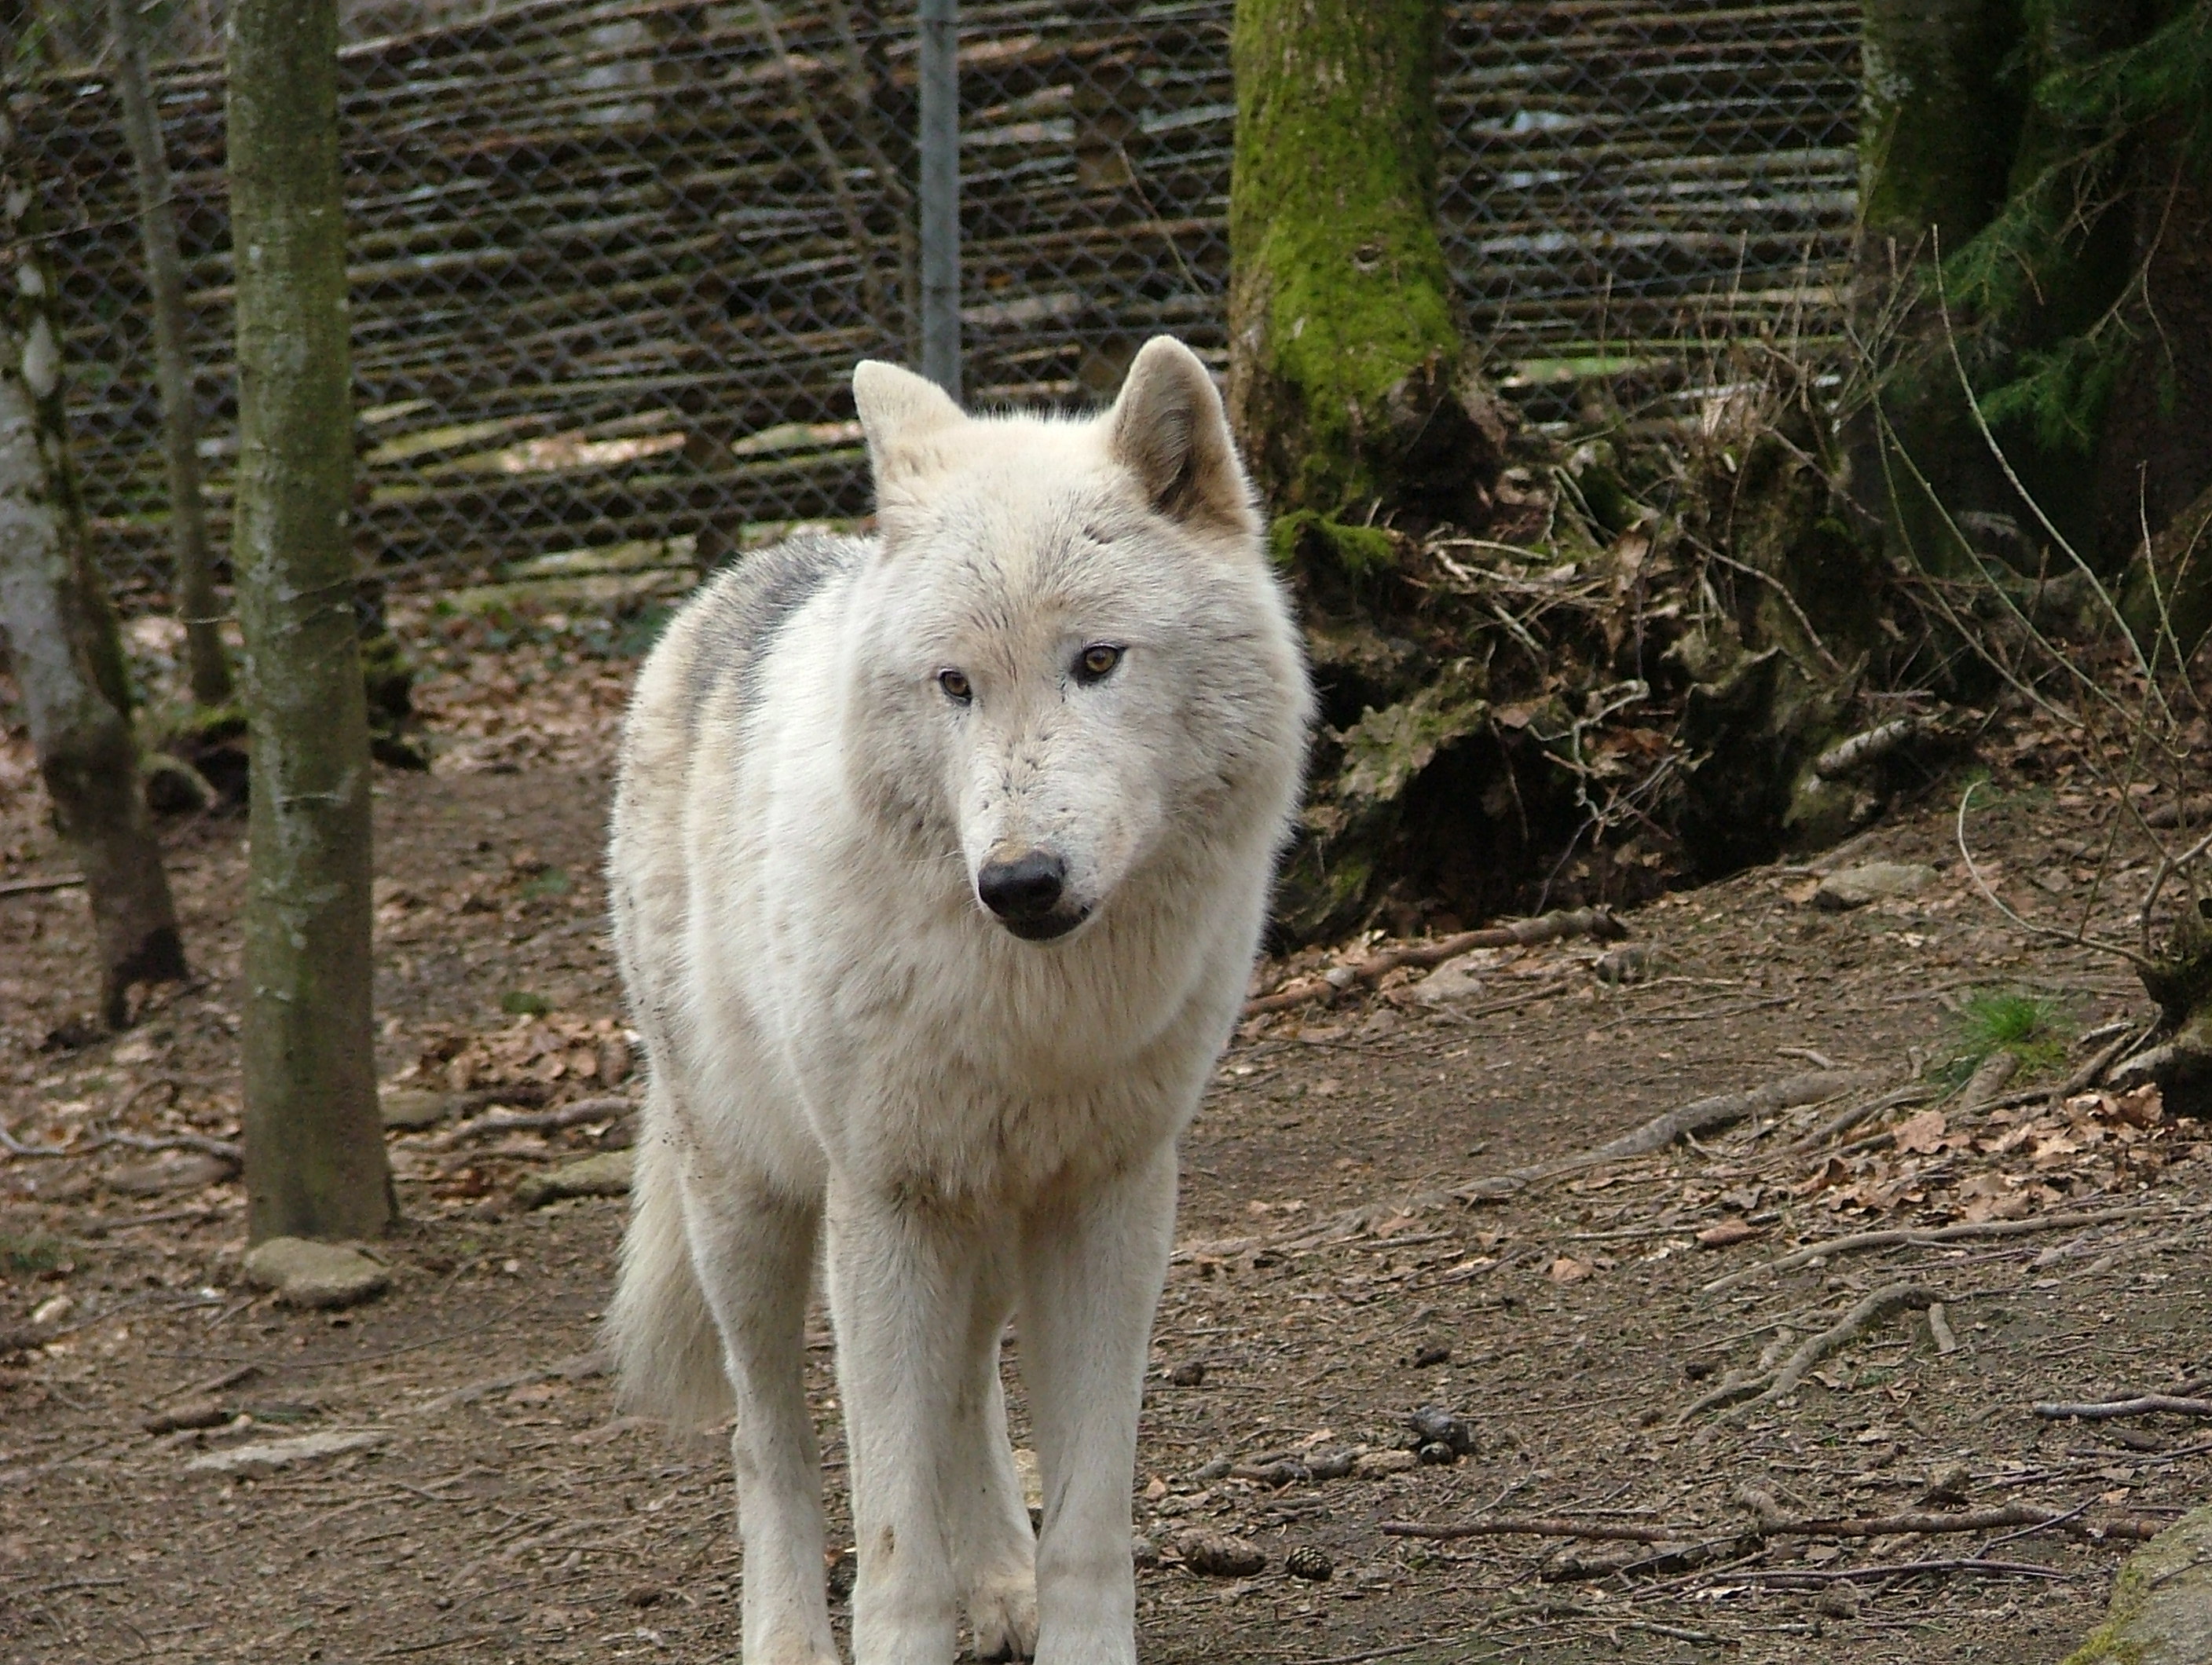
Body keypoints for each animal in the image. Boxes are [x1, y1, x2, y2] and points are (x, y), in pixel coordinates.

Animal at [606, 338, 1309, 1663]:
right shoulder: (885, 1202)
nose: (1019, 882)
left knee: (968, 1390)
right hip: (751, 1203)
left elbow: (1088, 1521)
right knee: (767, 1441)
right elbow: (890, 1544)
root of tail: (753, 571)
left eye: (1097, 662)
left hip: (980, 1210)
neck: (1034, 1010)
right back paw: (792, 1638)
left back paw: (1001, 1580)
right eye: (955, 686)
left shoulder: (1111, 1199)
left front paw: (1055, 1615)